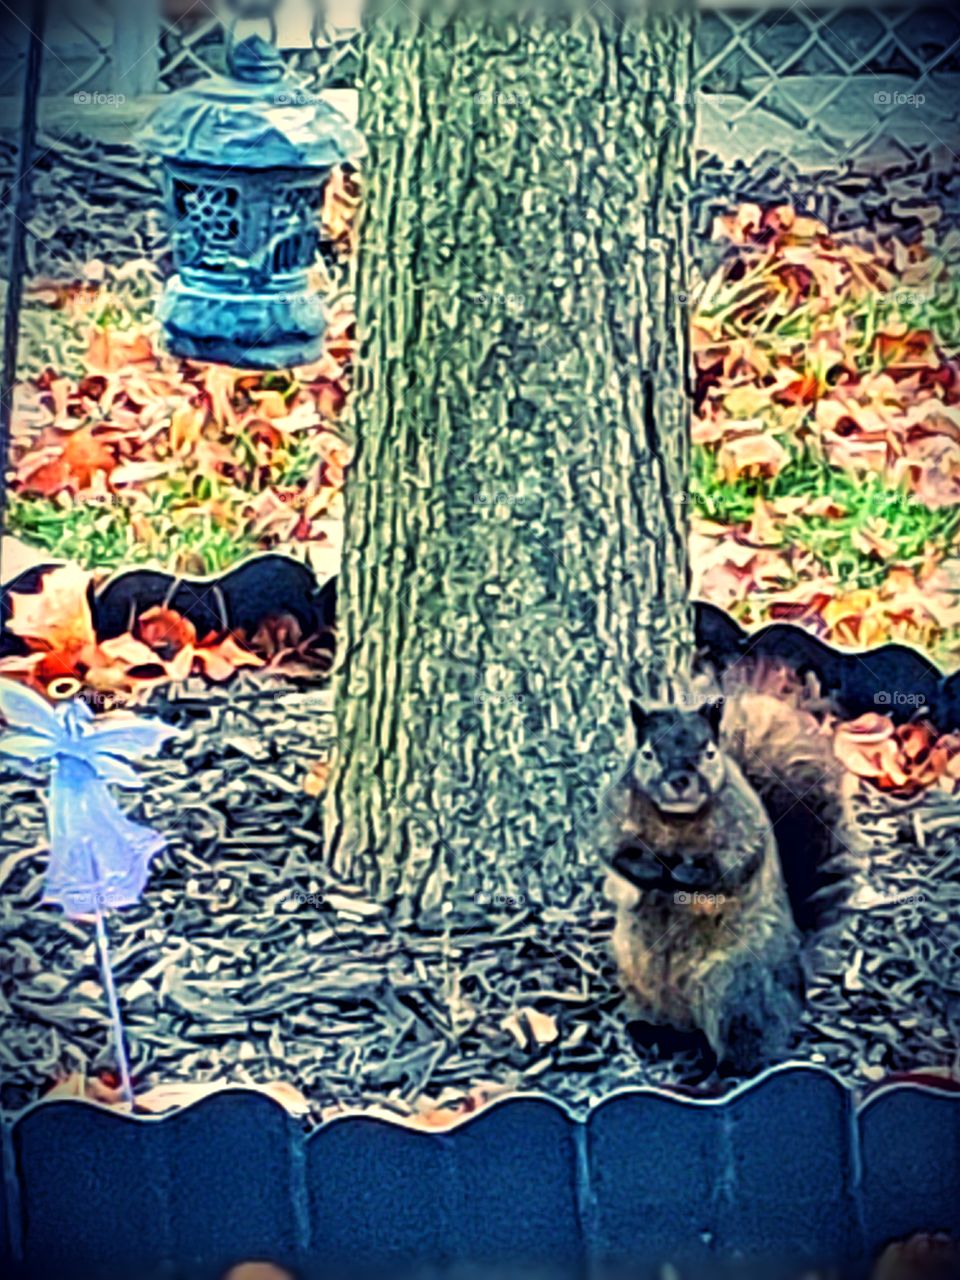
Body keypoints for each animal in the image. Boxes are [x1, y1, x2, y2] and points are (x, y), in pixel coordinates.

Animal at [602, 673, 855, 1074]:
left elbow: (732, 870)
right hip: (637, 979)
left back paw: (722, 1072)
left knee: (744, 1049)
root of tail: (795, 988)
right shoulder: (610, 823)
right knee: (673, 1029)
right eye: (647, 754)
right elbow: (614, 857)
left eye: (709, 753)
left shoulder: (744, 829)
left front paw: (684, 876)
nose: (679, 780)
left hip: (735, 992)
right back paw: (650, 1035)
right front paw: (652, 873)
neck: (676, 820)